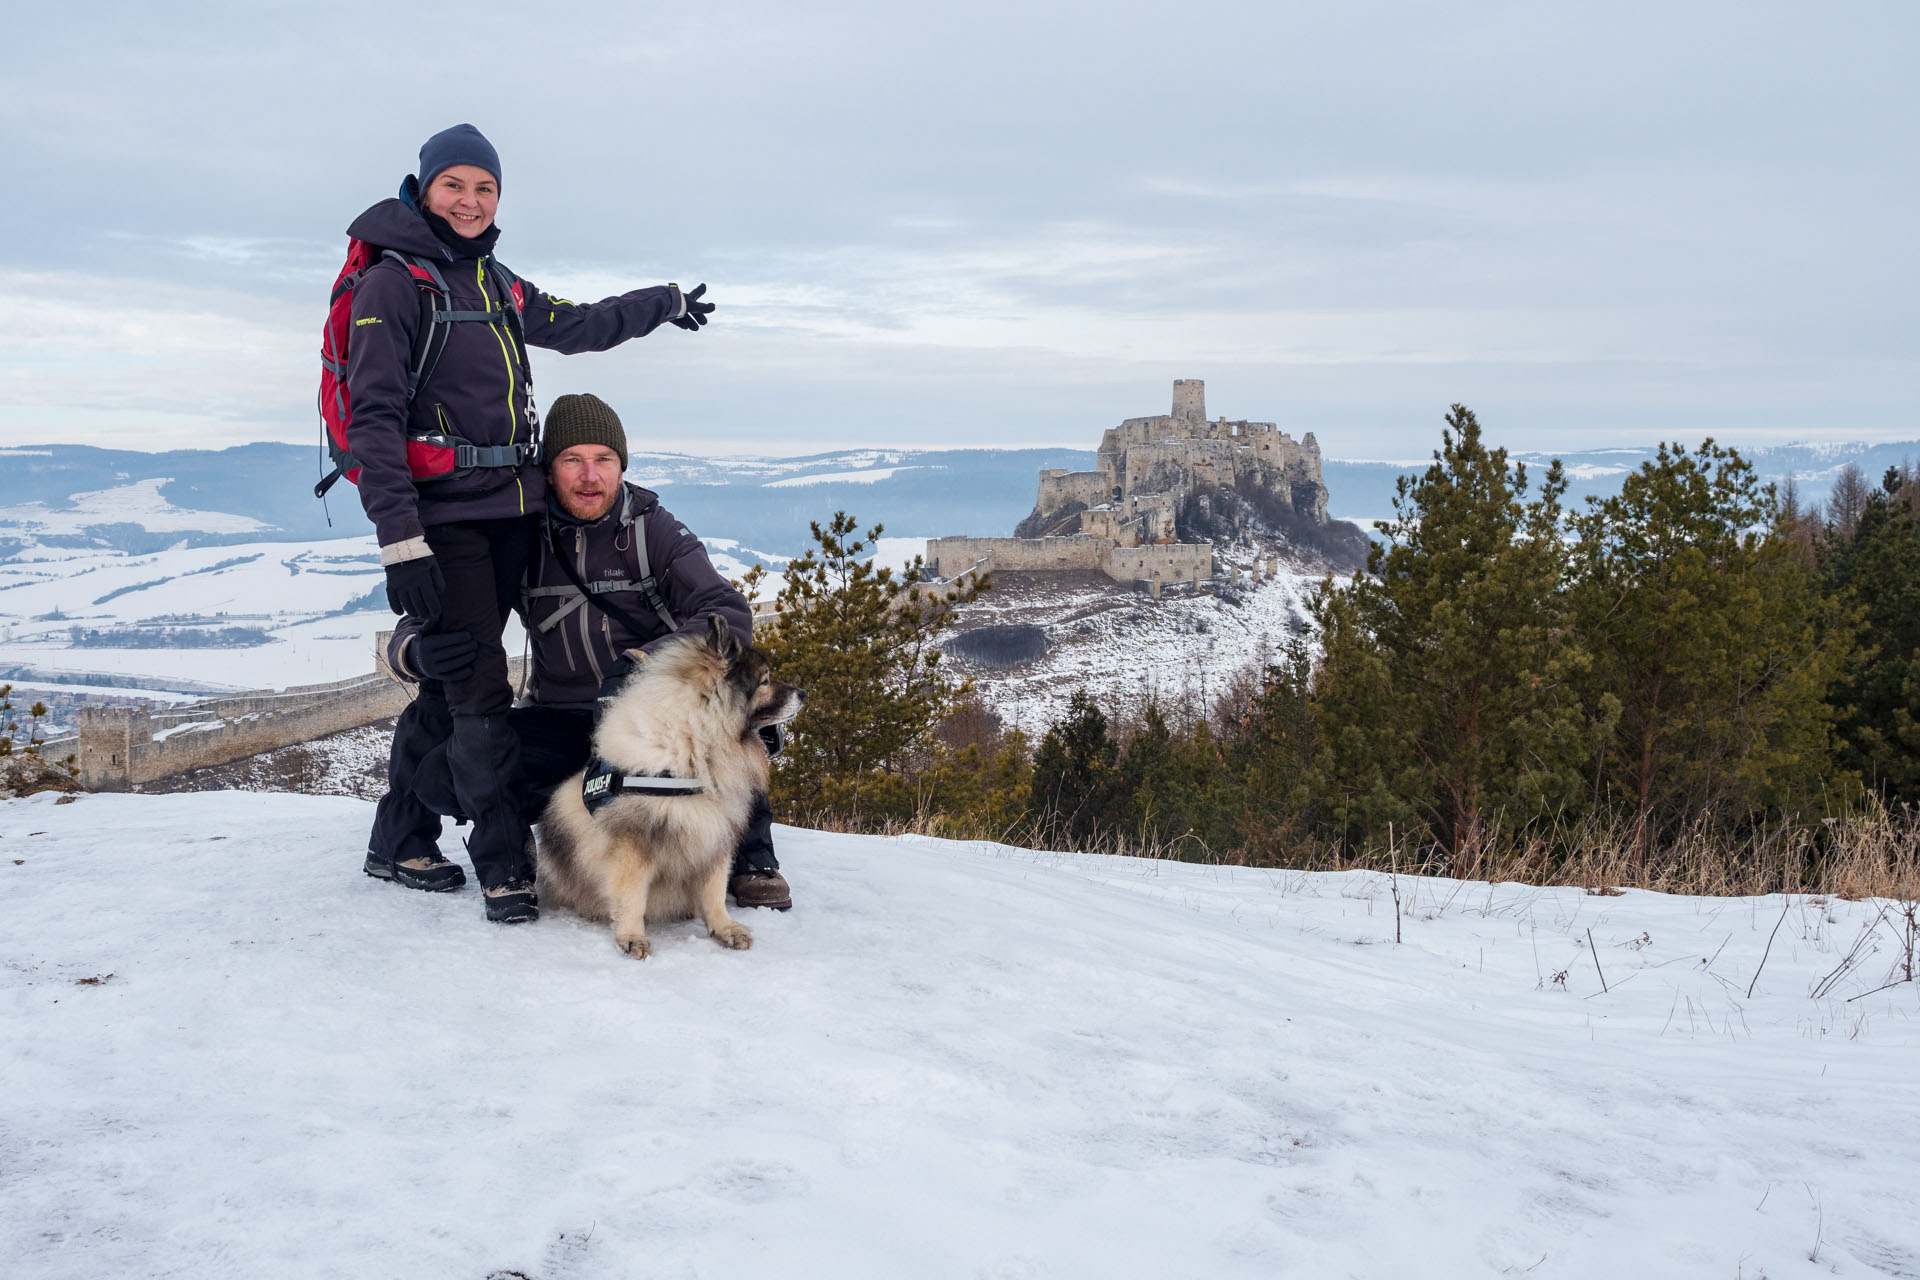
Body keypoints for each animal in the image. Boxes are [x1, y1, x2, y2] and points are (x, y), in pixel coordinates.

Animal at [537, 614, 806, 959]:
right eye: (765, 681)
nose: (803, 693)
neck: (695, 745)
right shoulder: (635, 843)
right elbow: (631, 896)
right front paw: (631, 936)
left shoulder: (713, 836)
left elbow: (714, 891)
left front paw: (724, 928)